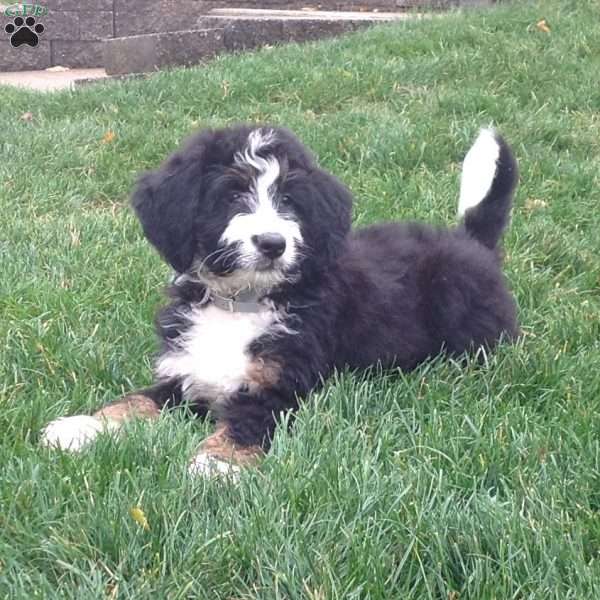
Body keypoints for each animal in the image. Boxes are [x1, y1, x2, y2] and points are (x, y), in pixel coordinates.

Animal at [43, 124, 520, 476]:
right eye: (234, 195)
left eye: (289, 200)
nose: (273, 243)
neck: (242, 302)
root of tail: (470, 241)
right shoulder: (185, 375)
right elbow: (138, 399)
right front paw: (83, 427)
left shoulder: (285, 387)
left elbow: (248, 421)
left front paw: (218, 463)